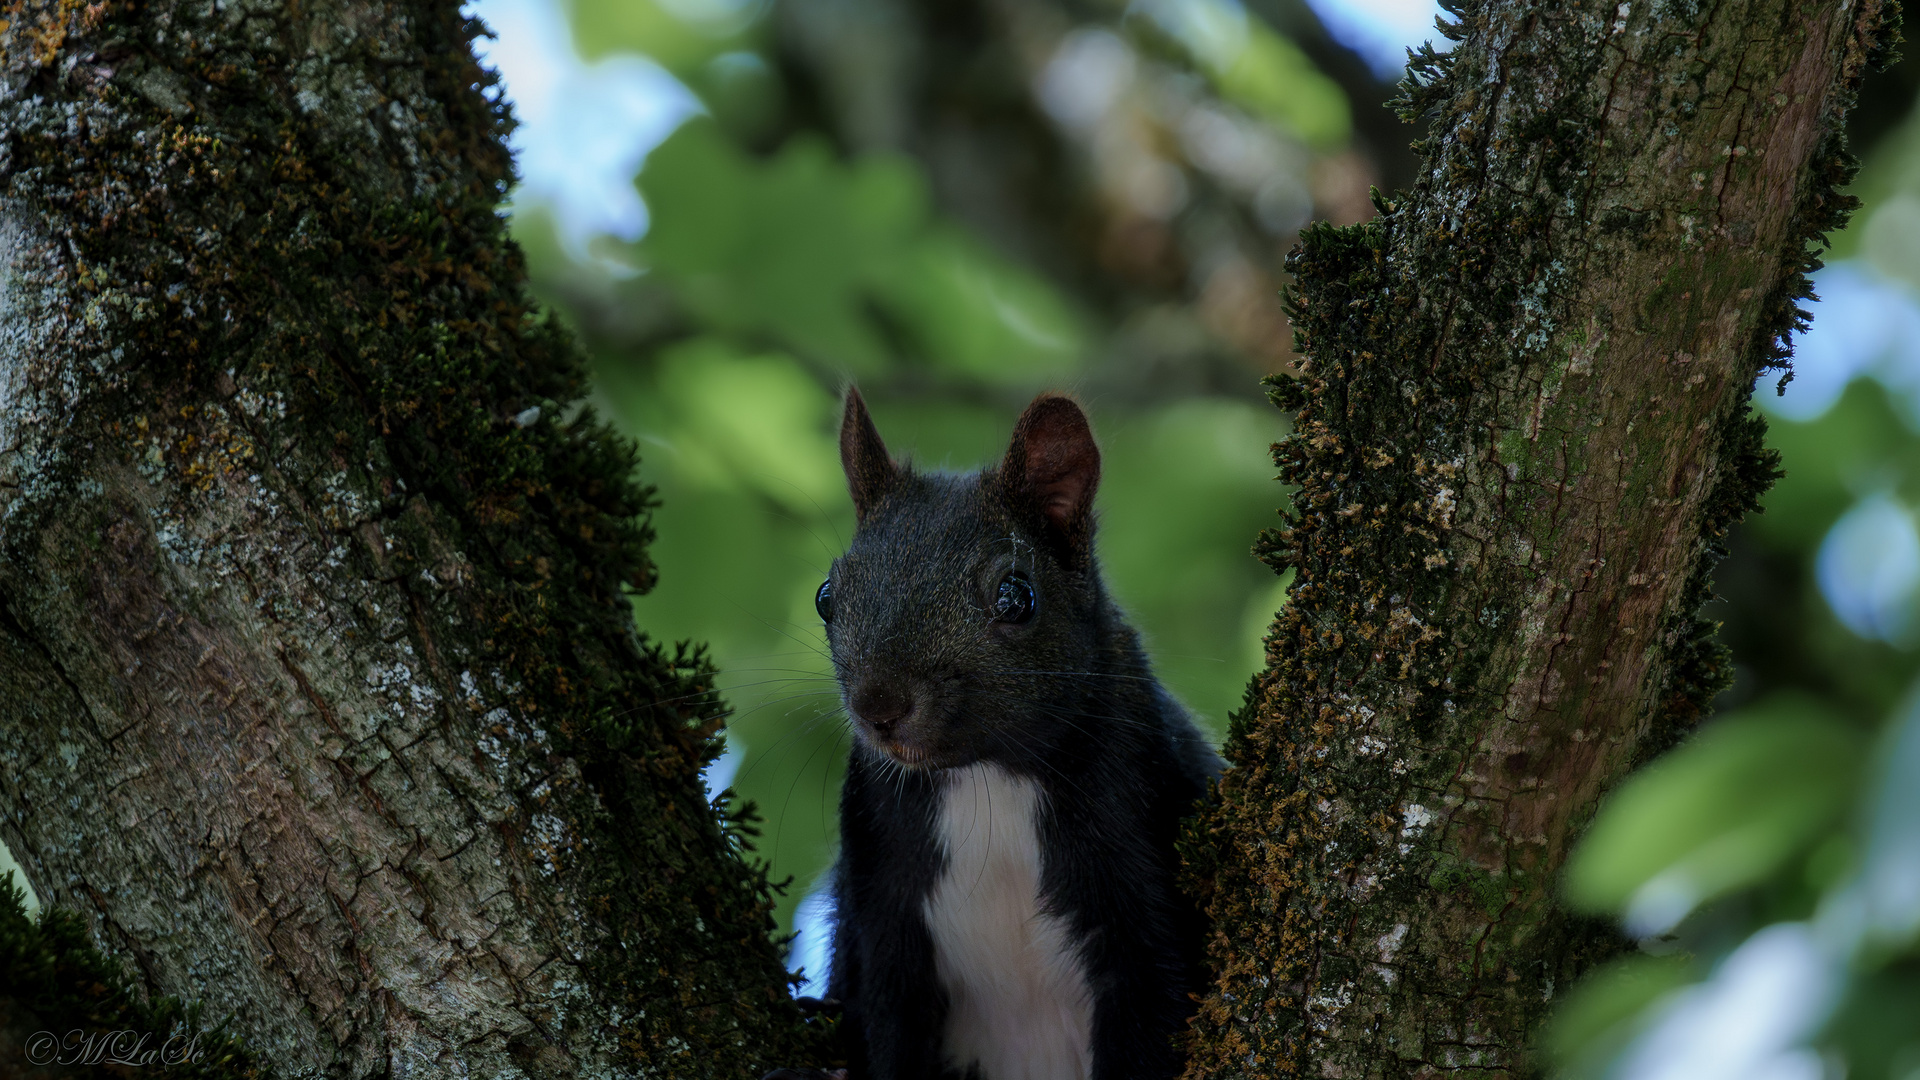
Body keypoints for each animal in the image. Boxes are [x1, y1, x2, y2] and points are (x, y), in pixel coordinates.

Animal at [771, 388, 1221, 1076]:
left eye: (1016, 597)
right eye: (826, 596)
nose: (880, 707)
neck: (988, 778)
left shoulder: (1140, 853)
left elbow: (1153, 1000)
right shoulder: (880, 896)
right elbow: (886, 1020)